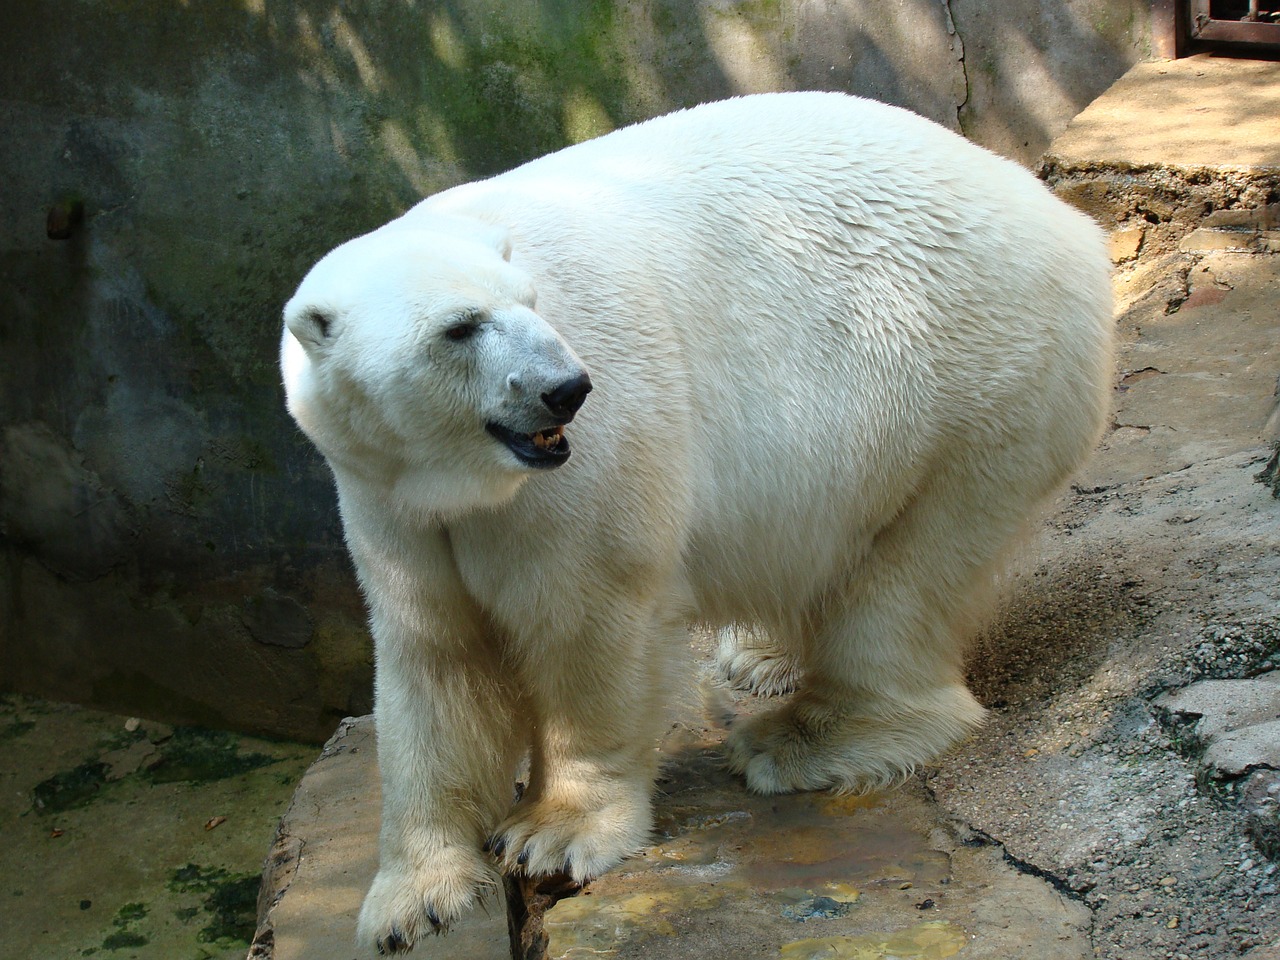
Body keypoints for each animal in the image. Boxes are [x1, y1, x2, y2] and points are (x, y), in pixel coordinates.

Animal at [280, 92, 1111, 957]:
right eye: (459, 327)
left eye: (530, 302)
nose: (565, 388)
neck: (466, 482)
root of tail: (1065, 220)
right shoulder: (388, 500)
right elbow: (435, 657)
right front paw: (411, 900)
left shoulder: (585, 474)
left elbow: (585, 625)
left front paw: (553, 834)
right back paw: (761, 656)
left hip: (969, 384)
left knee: (910, 575)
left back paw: (802, 738)